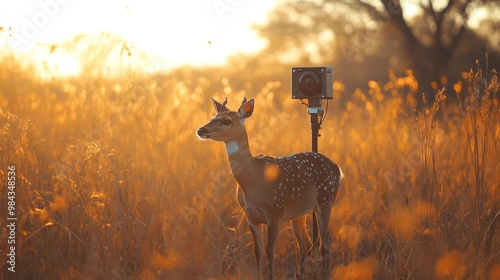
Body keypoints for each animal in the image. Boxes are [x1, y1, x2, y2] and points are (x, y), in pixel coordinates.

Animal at [196, 97, 344, 278]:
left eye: (226, 121)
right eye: (212, 118)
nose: (201, 130)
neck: (255, 181)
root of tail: (338, 168)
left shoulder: (275, 211)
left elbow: (270, 251)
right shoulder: (251, 217)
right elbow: (258, 251)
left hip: (326, 199)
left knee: (326, 241)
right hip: (299, 213)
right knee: (305, 245)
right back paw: (301, 274)